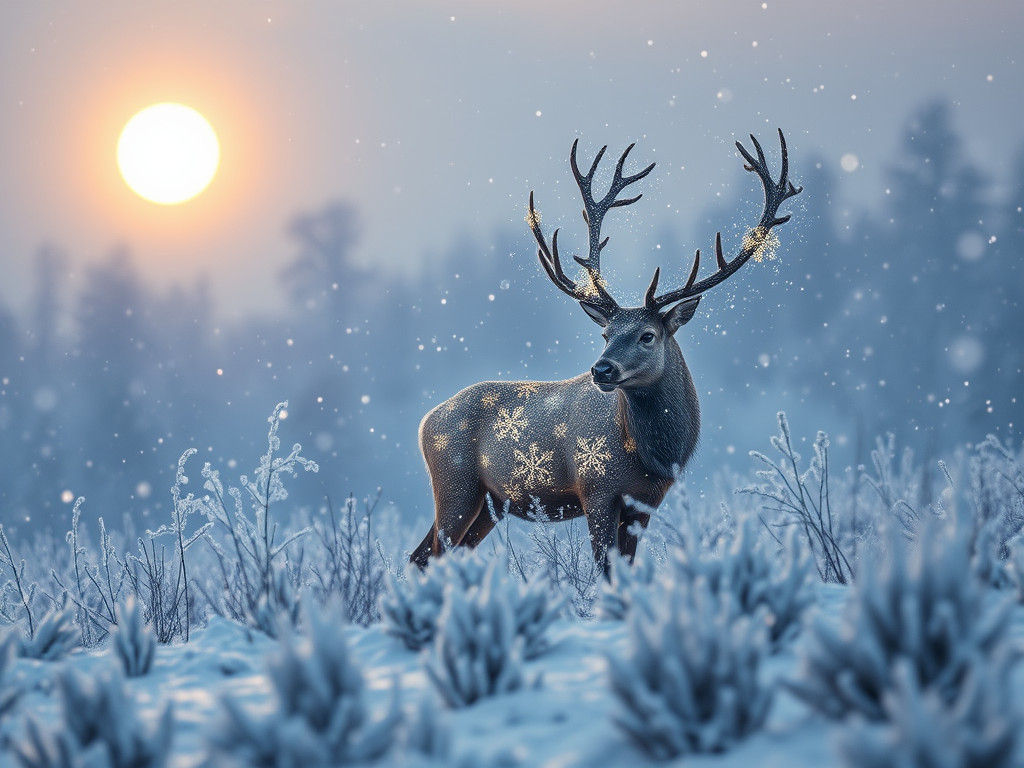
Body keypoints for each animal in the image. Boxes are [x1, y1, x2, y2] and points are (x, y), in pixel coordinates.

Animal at [410, 130, 801, 573]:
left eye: (647, 335)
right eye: (606, 333)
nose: (602, 370)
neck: (653, 456)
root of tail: (425, 422)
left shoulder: (645, 502)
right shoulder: (596, 488)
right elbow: (605, 570)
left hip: (490, 503)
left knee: (425, 555)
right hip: (456, 485)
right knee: (430, 553)